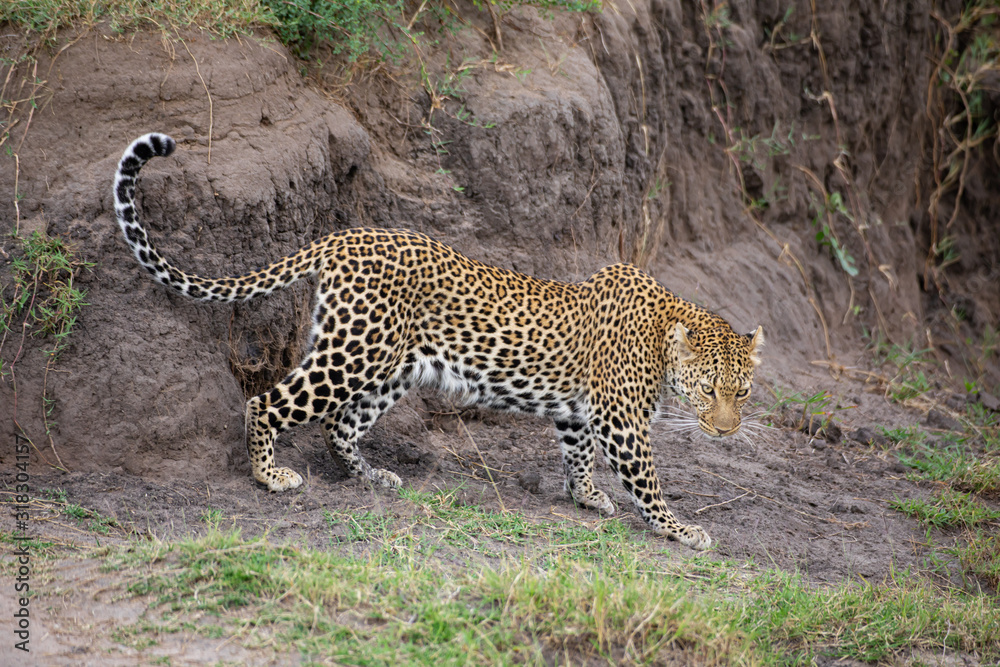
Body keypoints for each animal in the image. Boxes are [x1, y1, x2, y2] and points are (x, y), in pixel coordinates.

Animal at [114, 132, 764, 550]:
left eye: (743, 392)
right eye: (709, 389)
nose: (727, 430)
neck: (664, 335)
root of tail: (345, 237)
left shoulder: (581, 411)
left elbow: (577, 454)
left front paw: (585, 498)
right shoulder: (622, 421)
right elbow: (647, 483)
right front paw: (681, 530)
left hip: (389, 367)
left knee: (339, 425)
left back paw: (373, 478)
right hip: (351, 356)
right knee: (267, 402)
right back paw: (270, 476)